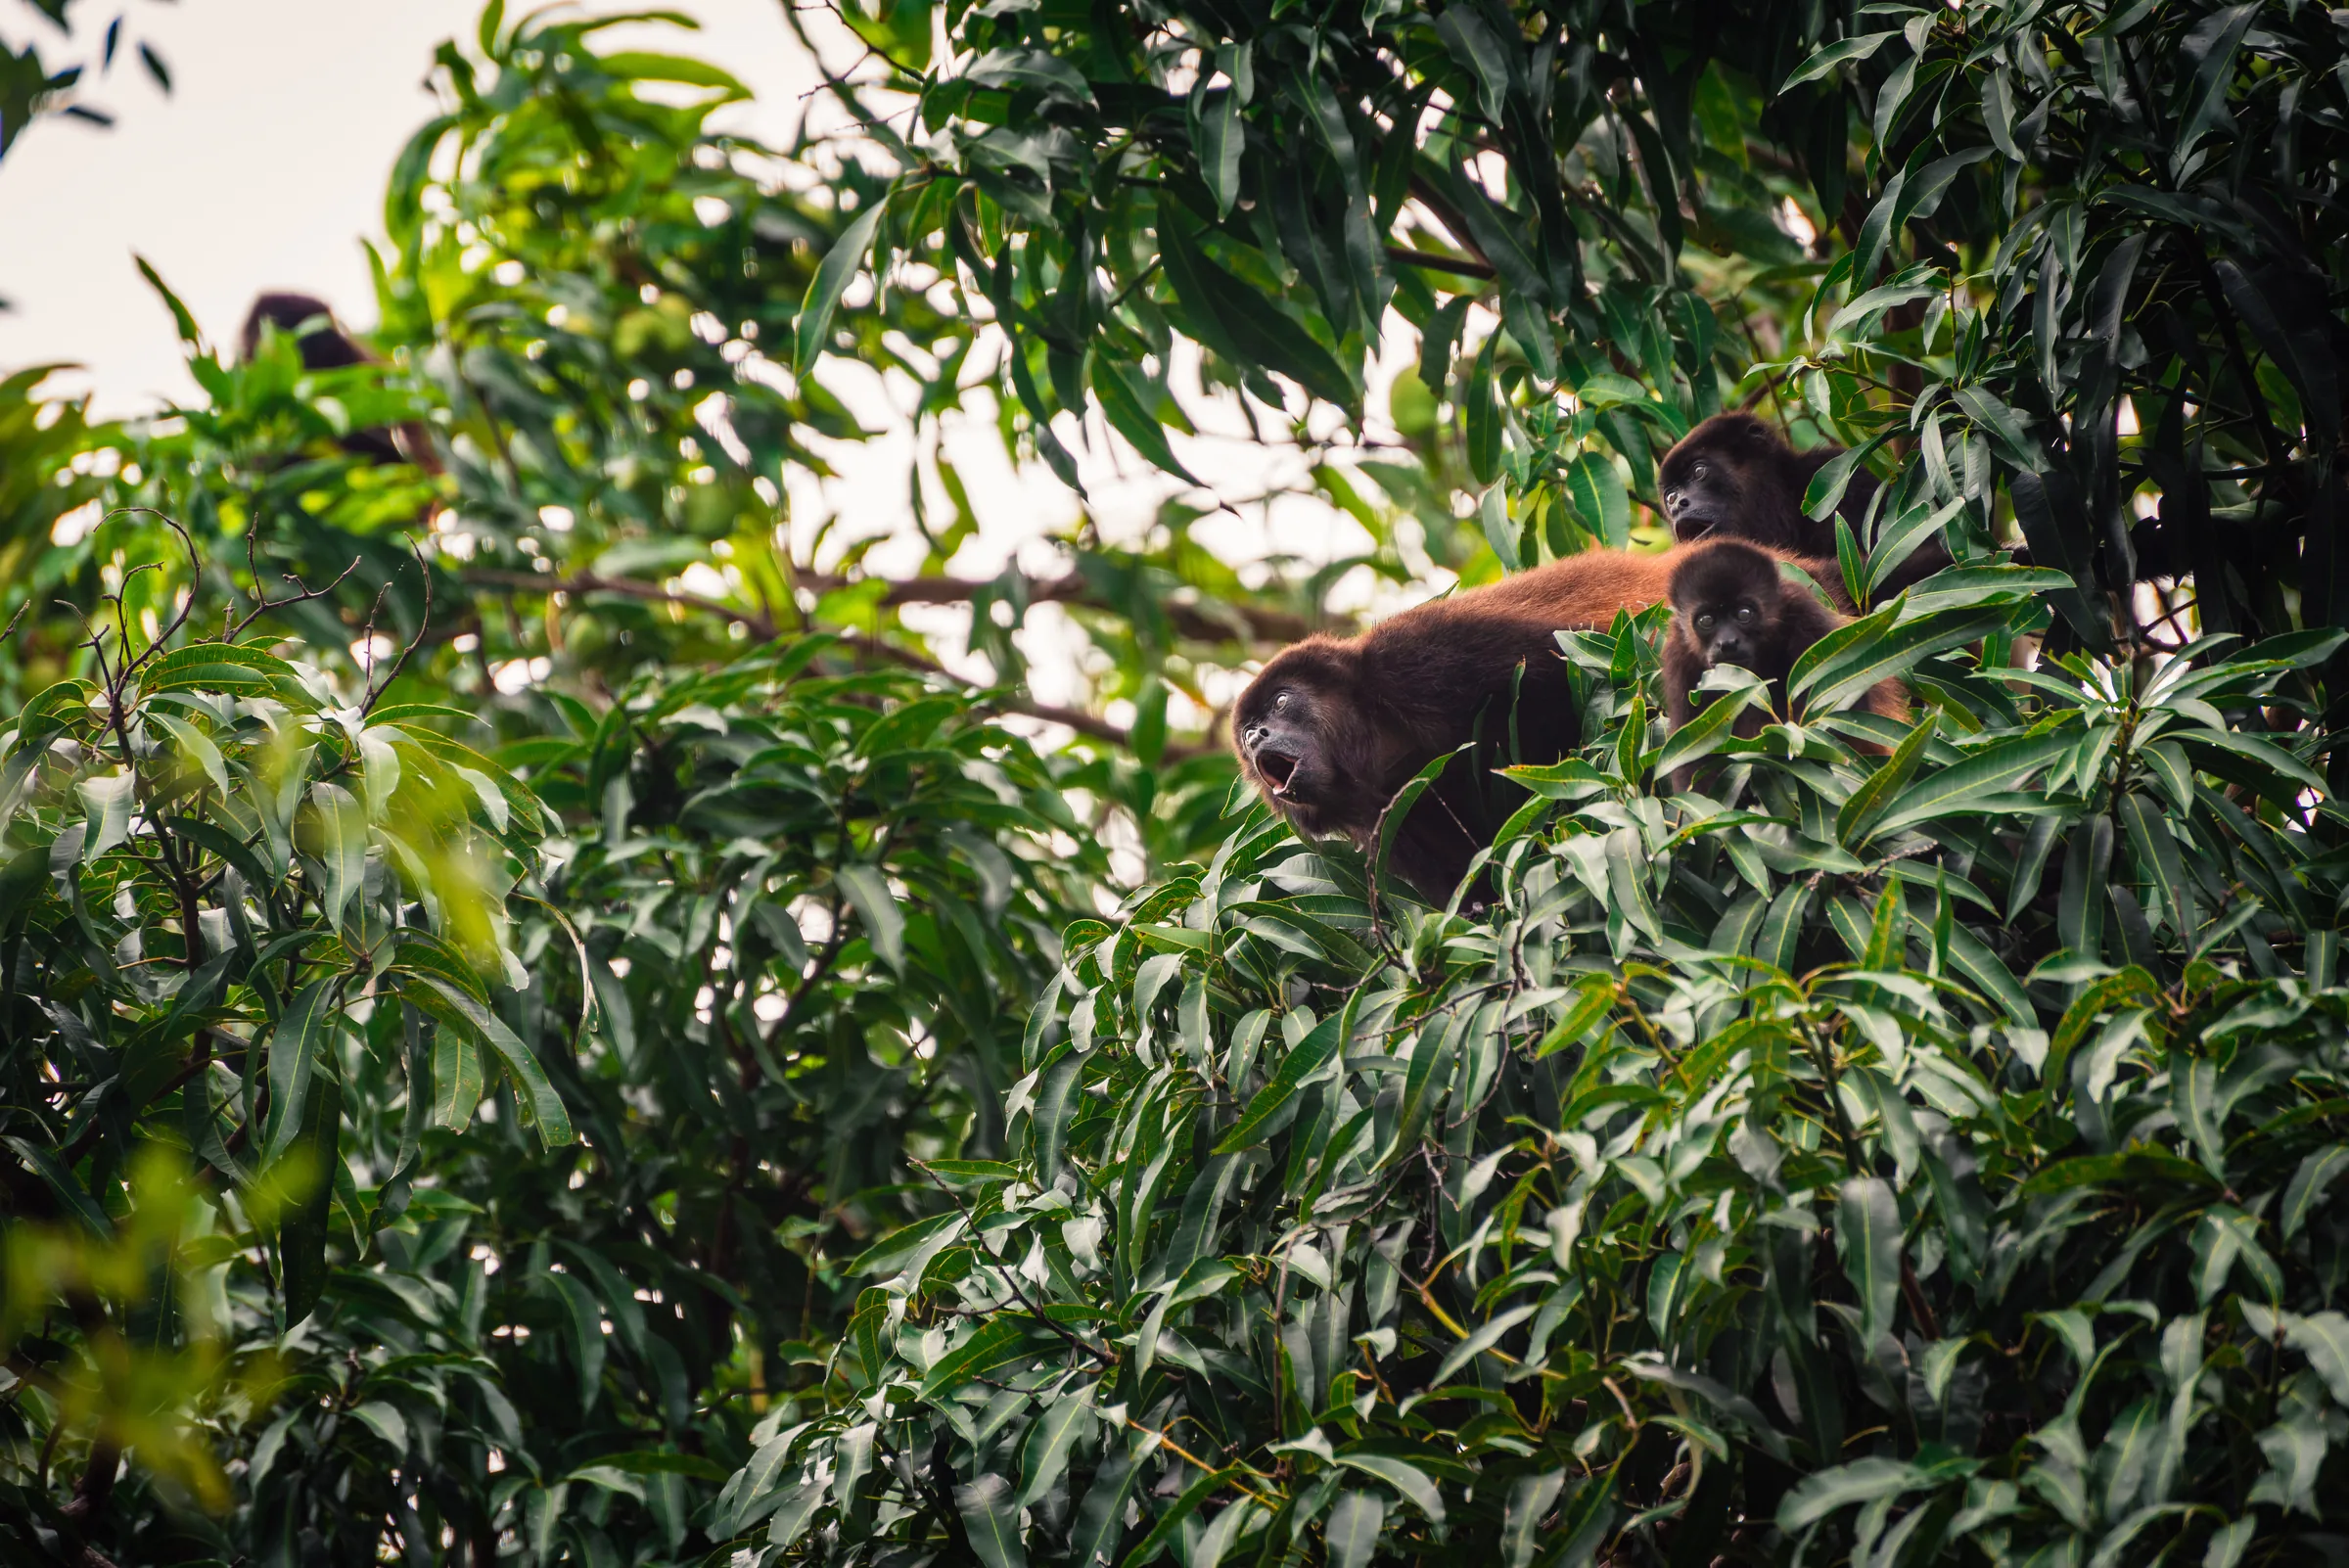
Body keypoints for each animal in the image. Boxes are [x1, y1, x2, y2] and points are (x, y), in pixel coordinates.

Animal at [1233, 543, 1856, 898]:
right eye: (1247, 730)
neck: (1379, 738)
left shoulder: (1424, 655)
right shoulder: (1386, 821)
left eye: (1281, 703)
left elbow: (1564, 668)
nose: (1257, 735)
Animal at [1661, 539, 1910, 791]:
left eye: (1744, 614)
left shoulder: (1806, 617)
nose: (1727, 643)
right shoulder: (1679, 656)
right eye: (1706, 620)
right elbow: (1692, 767)